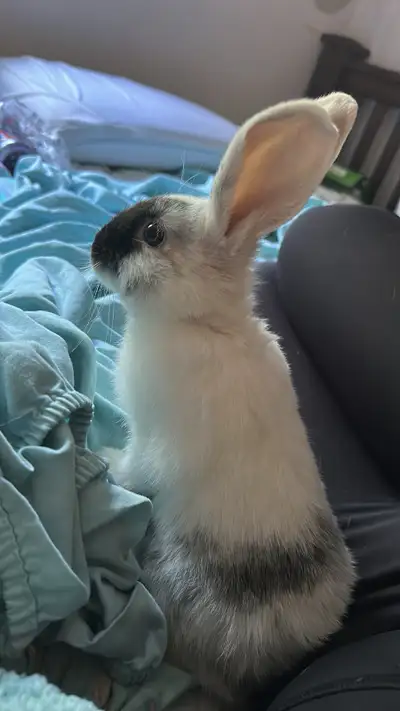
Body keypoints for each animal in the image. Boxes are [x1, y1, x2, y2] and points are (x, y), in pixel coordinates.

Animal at [91, 92, 358, 711]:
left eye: (152, 233)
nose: (92, 248)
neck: (202, 322)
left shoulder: (150, 440)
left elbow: (132, 465)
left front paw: (104, 461)